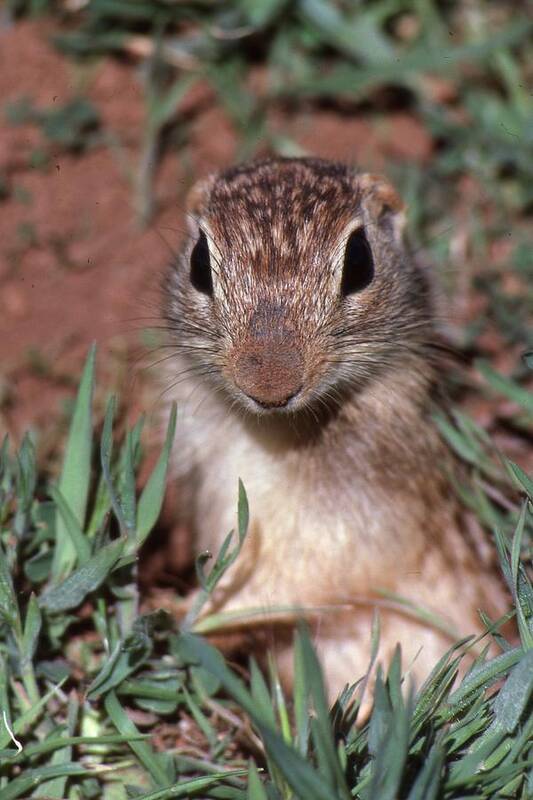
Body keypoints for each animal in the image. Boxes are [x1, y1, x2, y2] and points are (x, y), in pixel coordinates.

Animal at [163, 159, 508, 696]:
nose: (270, 387)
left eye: (360, 262)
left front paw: (181, 614)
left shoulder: (365, 520)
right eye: (200, 261)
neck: (278, 431)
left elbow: (298, 584)